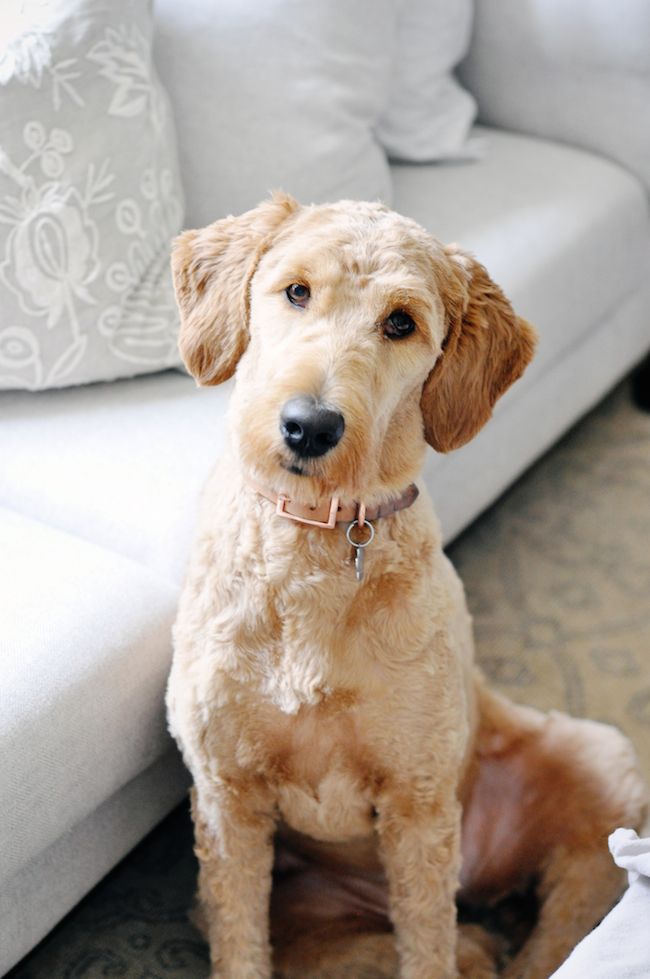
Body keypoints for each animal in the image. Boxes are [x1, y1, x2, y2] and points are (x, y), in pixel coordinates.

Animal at [166, 193, 644, 979]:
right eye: (296, 290)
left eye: (400, 322)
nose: (309, 426)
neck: (318, 541)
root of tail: (486, 878)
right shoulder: (225, 799)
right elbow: (242, 946)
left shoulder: (417, 805)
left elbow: (427, 946)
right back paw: (479, 945)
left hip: (602, 765)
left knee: (558, 926)